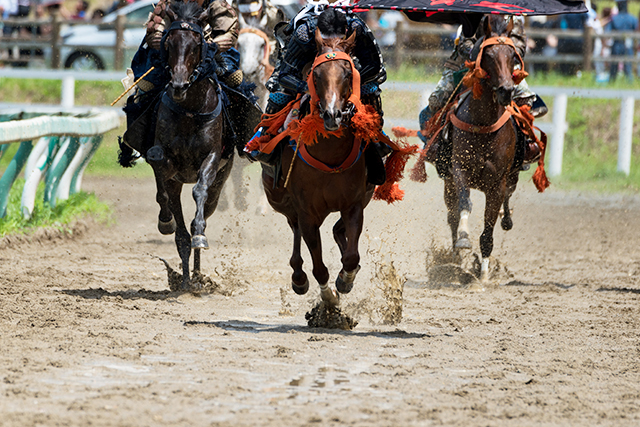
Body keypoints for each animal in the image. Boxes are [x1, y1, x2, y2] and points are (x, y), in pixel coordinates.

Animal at [144, 0, 234, 290]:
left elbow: (200, 191)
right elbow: (159, 172)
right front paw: (165, 221)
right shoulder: (166, 162)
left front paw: (200, 235)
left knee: (202, 214)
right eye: (169, 43)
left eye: (196, 44)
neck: (189, 111)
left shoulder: (213, 157)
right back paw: (186, 278)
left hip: (220, 183)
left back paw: (196, 271)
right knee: (180, 230)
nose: (179, 85)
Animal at [262, 29, 376, 306]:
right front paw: (328, 296)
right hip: (279, 199)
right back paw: (298, 277)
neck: (329, 154)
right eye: (316, 75)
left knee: (336, 230)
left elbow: (351, 256)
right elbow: (319, 266)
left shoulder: (354, 204)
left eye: (348, 72)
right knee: (294, 229)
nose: (332, 115)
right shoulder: (307, 212)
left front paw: (345, 279)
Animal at [444, 15, 547, 284]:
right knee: (451, 214)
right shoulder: (460, 171)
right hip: (447, 181)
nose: (506, 90)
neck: (483, 125)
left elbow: (488, 227)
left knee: (507, 199)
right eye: (487, 54)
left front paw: (483, 273)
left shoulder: (497, 183)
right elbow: (464, 205)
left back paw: (506, 219)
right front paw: (463, 240)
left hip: (512, 175)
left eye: (512, 56)